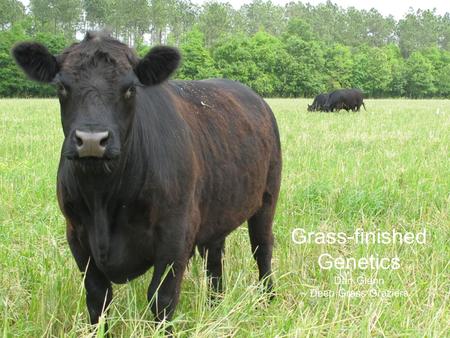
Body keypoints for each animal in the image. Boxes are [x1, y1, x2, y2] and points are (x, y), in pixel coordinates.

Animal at [11, 32, 282, 332]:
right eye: (61, 86)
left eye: (130, 88)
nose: (92, 140)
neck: (103, 197)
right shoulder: (76, 234)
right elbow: (97, 298)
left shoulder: (176, 233)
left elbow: (161, 298)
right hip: (219, 206)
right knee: (214, 256)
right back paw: (215, 304)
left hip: (268, 197)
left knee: (262, 247)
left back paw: (268, 299)